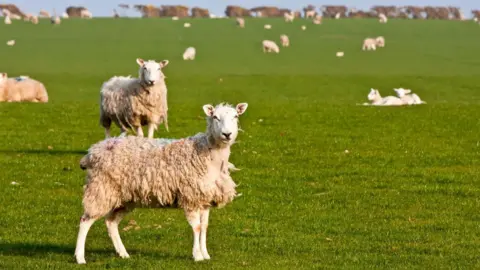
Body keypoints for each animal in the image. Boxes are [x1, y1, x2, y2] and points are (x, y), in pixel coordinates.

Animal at [74, 102, 251, 264]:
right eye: (215, 117)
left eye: (236, 116)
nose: (227, 134)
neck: (208, 154)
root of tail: (93, 151)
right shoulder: (191, 197)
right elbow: (197, 227)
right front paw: (197, 256)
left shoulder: (205, 198)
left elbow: (204, 226)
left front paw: (205, 254)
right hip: (100, 189)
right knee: (85, 221)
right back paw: (80, 257)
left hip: (124, 197)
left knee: (111, 222)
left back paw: (123, 253)